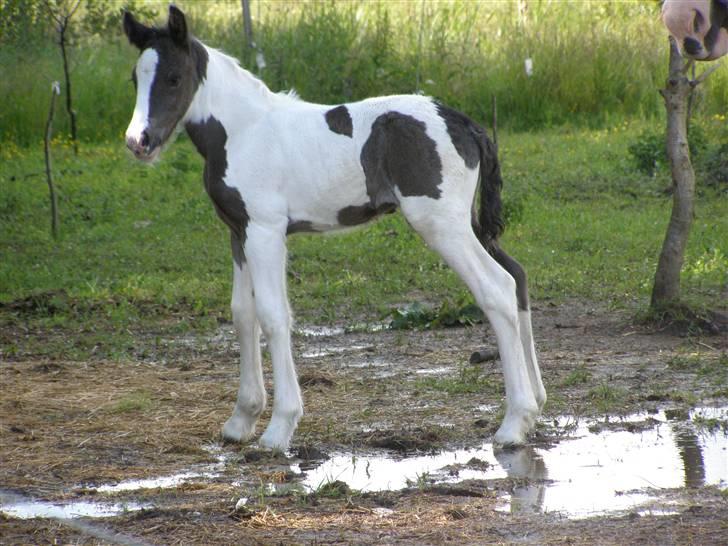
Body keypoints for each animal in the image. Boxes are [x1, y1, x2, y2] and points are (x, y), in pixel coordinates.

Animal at [123, 6, 544, 448]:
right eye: (136, 78)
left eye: (173, 77)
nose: (139, 141)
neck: (243, 131)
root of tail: (465, 124)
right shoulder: (238, 232)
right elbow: (242, 313)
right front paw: (241, 420)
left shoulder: (265, 231)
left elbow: (273, 315)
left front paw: (279, 427)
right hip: (470, 224)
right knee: (517, 277)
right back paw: (537, 404)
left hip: (442, 225)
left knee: (496, 288)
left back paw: (514, 422)